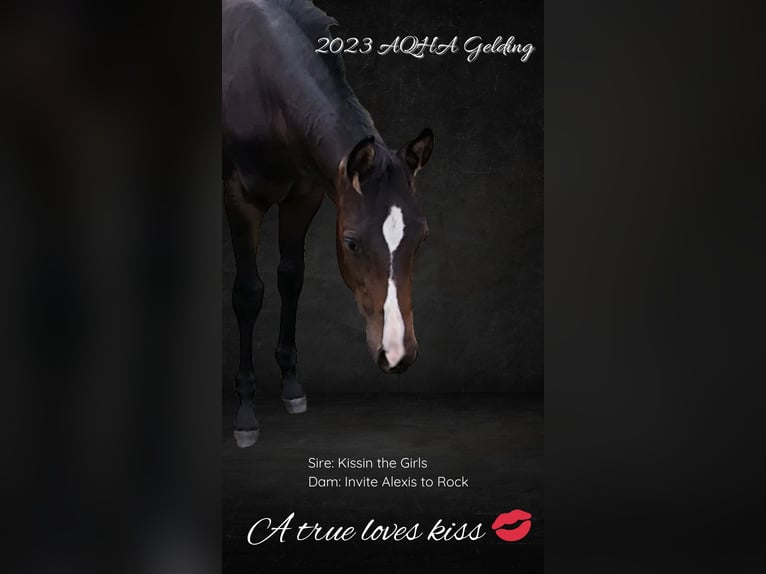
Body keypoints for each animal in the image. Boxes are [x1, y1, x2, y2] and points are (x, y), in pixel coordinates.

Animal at [222, 0, 434, 447]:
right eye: (352, 243)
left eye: (421, 237)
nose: (397, 353)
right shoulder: (240, 201)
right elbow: (248, 294)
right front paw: (245, 413)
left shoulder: (305, 196)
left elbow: (291, 278)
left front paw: (291, 386)